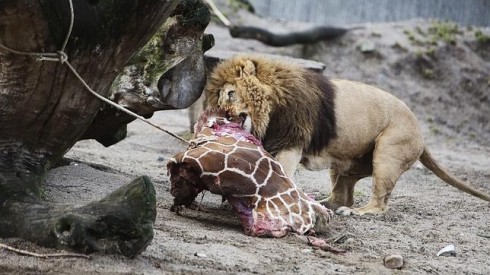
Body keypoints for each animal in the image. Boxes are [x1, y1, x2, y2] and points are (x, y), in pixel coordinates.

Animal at [205, 55, 490, 217]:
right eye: (219, 99)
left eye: (230, 94)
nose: (222, 114)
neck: (271, 106)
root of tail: (421, 132)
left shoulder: (291, 143)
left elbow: (281, 174)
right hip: (346, 164)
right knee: (342, 194)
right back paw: (325, 203)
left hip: (388, 153)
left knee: (378, 202)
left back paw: (357, 212)